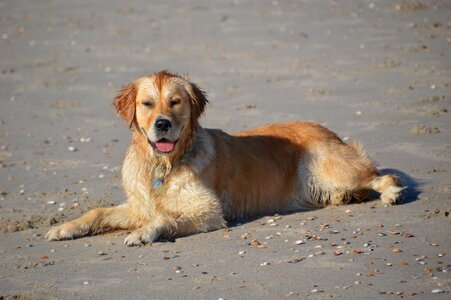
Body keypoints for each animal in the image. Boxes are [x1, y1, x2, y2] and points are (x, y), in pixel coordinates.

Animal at [46, 70, 406, 246]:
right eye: (147, 103)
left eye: (175, 102)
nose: (162, 125)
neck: (163, 165)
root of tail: (327, 128)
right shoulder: (138, 205)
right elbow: (97, 212)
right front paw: (65, 228)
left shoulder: (209, 212)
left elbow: (164, 219)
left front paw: (143, 233)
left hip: (330, 166)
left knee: (384, 175)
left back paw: (390, 194)